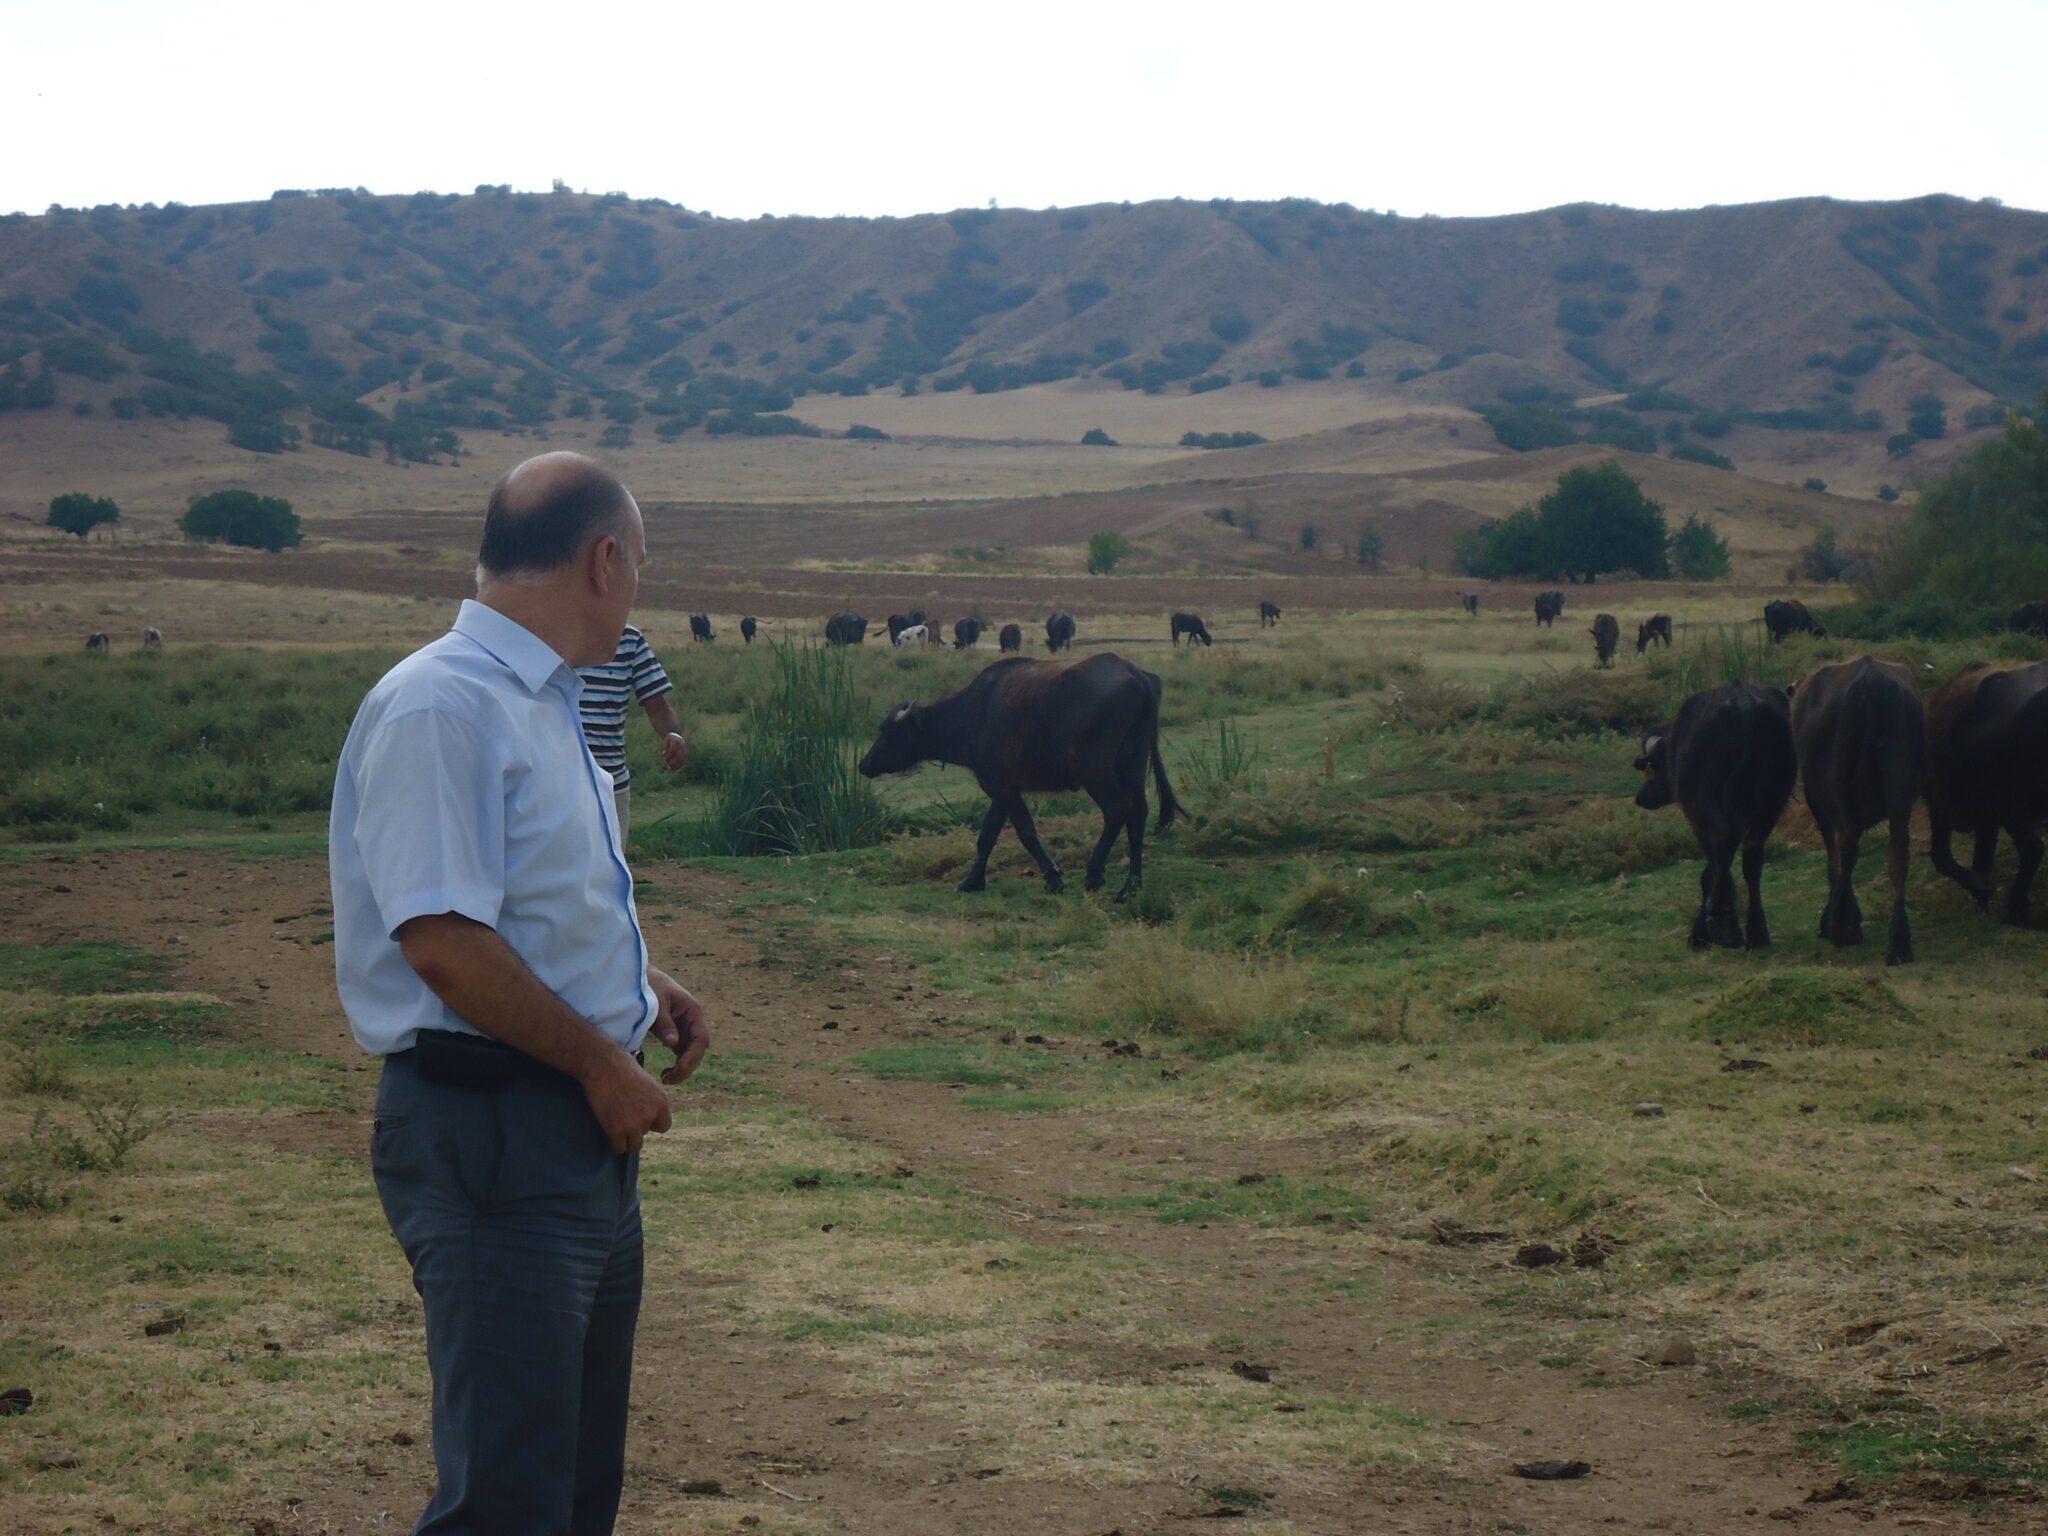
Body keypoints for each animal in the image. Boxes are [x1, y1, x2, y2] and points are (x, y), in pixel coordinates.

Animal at [860, 651, 1187, 901]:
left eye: (887, 732)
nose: (864, 765)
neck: (972, 714)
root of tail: (1137, 674)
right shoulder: (1003, 788)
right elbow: (987, 836)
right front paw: (971, 881)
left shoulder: (999, 786)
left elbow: (1026, 832)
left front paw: (1053, 877)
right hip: (1133, 763)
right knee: (1138, 813)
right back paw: (1131, 885)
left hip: (1095, 770)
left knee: (1117, 810)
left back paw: (1095, 874)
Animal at [1630, 684, 1794, 950]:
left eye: (1653, 767)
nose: (1641, 797)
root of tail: (1744, 704)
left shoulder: (1697, 821)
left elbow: (1711, 870)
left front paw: (1701, 932)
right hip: (1770, 806)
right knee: (1753, 858)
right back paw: (1757, 933)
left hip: (1708, 805)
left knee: (1724, 849)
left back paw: (1724, 929)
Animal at [1794, 659, 1916, 962]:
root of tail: (1870, 678)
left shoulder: (1817, 801)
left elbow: (1833, 858)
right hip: (1900, 792)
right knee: (1899, 854)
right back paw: (1899, 942)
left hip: (1842, 793)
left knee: (1847, 848)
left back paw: (1840, 927)